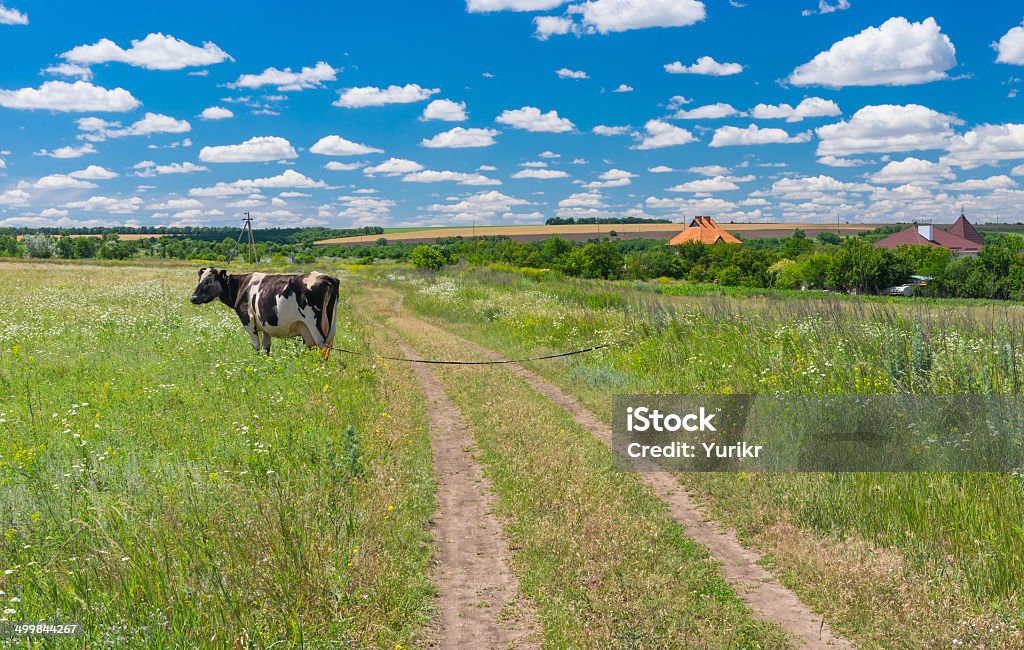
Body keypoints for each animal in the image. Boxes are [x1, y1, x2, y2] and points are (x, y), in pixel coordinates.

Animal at [188, 270, 339, 360]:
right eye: (199, 280)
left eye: (209, 281)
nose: (193, 298)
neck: (242, 286)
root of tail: (324, 276)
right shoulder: (266, 325)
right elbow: (266, 347)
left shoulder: (248, 320)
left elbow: (256, 346)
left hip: (315, 325)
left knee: (323, 348)